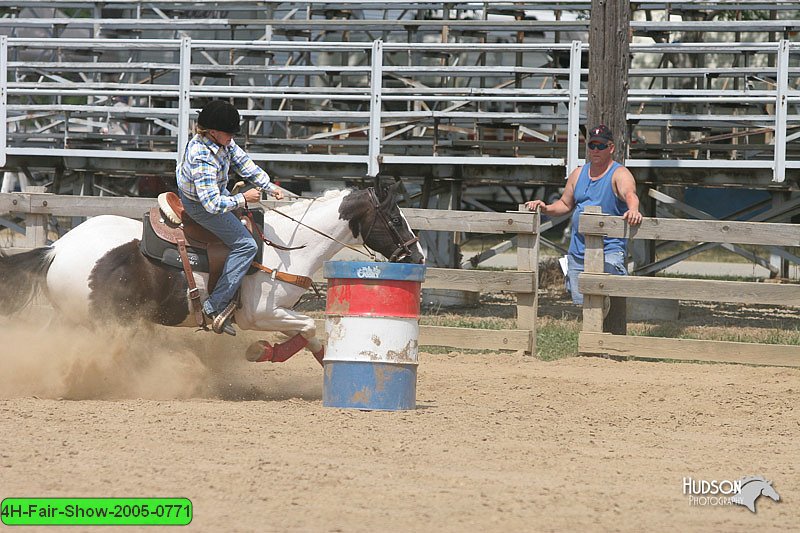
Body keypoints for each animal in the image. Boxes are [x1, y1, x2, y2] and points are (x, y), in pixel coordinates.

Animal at [0, 185, 424, 364]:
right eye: (395, 218)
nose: (417, 254)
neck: (286, 248)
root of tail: (56, 249)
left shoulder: (276, 314)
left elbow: (311, 336)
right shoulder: (259, 314)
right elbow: (308, 328)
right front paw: (263, 352)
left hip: (71, 317)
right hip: (106, 320)